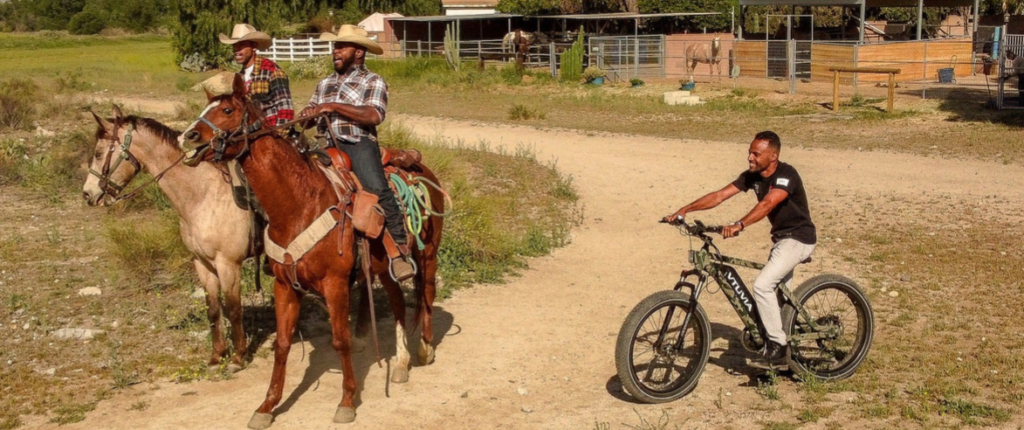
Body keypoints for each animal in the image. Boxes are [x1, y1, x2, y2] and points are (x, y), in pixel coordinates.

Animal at [82, 104, 253, 372]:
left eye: (99, 153)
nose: (88, 194)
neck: (205, 195)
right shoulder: (202, 263)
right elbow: (213, 309)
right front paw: (217, 356)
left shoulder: (228, 264)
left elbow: (234, 309)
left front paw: (237, 358)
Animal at [175, 73, 444, 425]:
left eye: (228, 110)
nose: (187, 137)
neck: (298, 204)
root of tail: (420, 167)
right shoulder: (284, 285)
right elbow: (282, 344)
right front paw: (267, 406)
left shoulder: (335, 284)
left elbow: (341, 340)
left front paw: (347, 400)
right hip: (385, 268)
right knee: (399, 303)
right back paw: (400, 364)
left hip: (428, 254)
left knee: (426, 295)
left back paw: (424, 349)